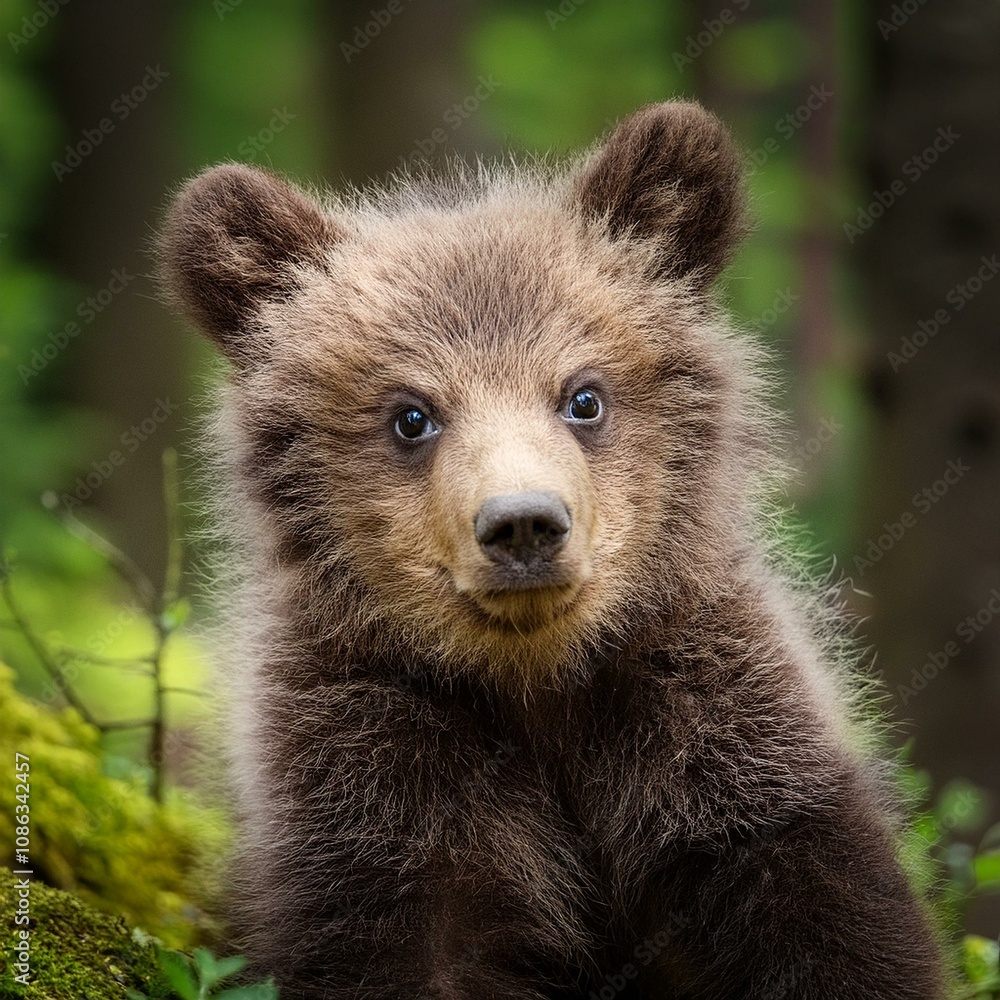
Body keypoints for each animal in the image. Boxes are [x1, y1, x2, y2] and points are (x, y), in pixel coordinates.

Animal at [160, 101, 945, 998]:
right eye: (412, 414)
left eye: (583, 396)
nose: (524, 523)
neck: (537, 682)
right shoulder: (371, 765)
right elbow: (391, 933)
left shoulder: (718, 730)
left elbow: (827, 908)